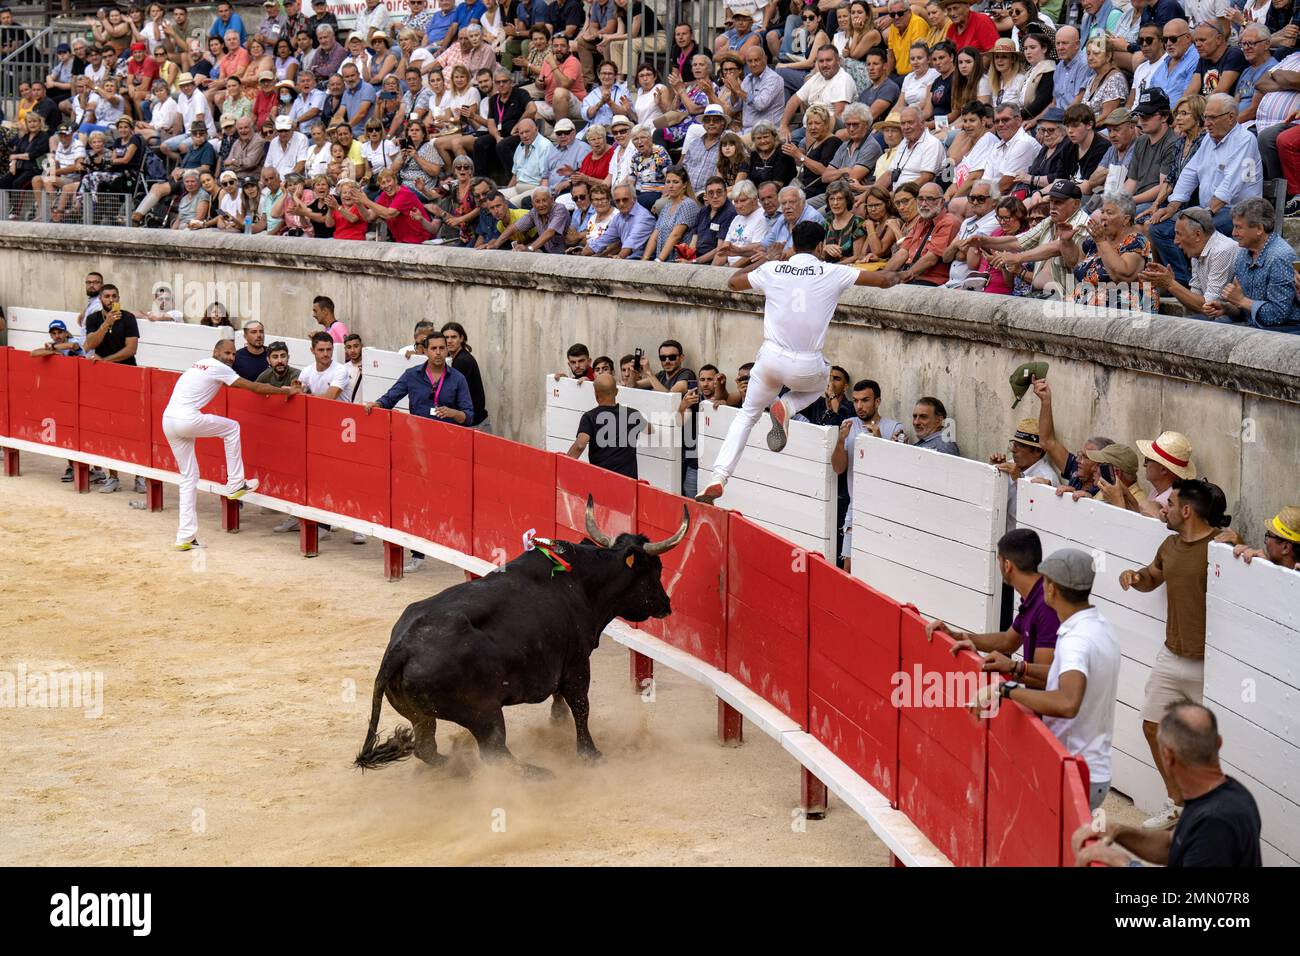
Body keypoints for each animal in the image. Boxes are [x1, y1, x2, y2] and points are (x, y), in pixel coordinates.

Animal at [356, 496, 691, 775]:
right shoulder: (577, 663)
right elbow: (581, 705)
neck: (582, 582)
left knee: (427, 749)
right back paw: (534, 773)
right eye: (655, 570)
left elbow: (562, 700)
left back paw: (458, 766)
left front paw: (558, 723)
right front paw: (591, 754)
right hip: (484, 713)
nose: (667, 605)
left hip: (420, 714)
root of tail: (401, 649)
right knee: (495, 752)